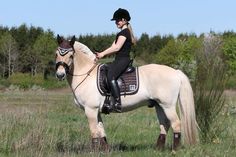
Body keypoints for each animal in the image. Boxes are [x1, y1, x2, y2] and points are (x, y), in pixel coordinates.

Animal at [55, 35, 199, 151]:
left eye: (71, 55)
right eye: (56, 54)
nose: (60, 74)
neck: (87, 74)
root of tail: (176, 72)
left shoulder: (90, 110)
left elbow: (94, 132)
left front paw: (94, 151)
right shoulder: (97, 111)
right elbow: (101, 131)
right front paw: (106, 150)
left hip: (168, 105)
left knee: (176, 124)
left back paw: (175, 150)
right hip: (159, 105)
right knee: (165, 124)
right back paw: (158, 149)